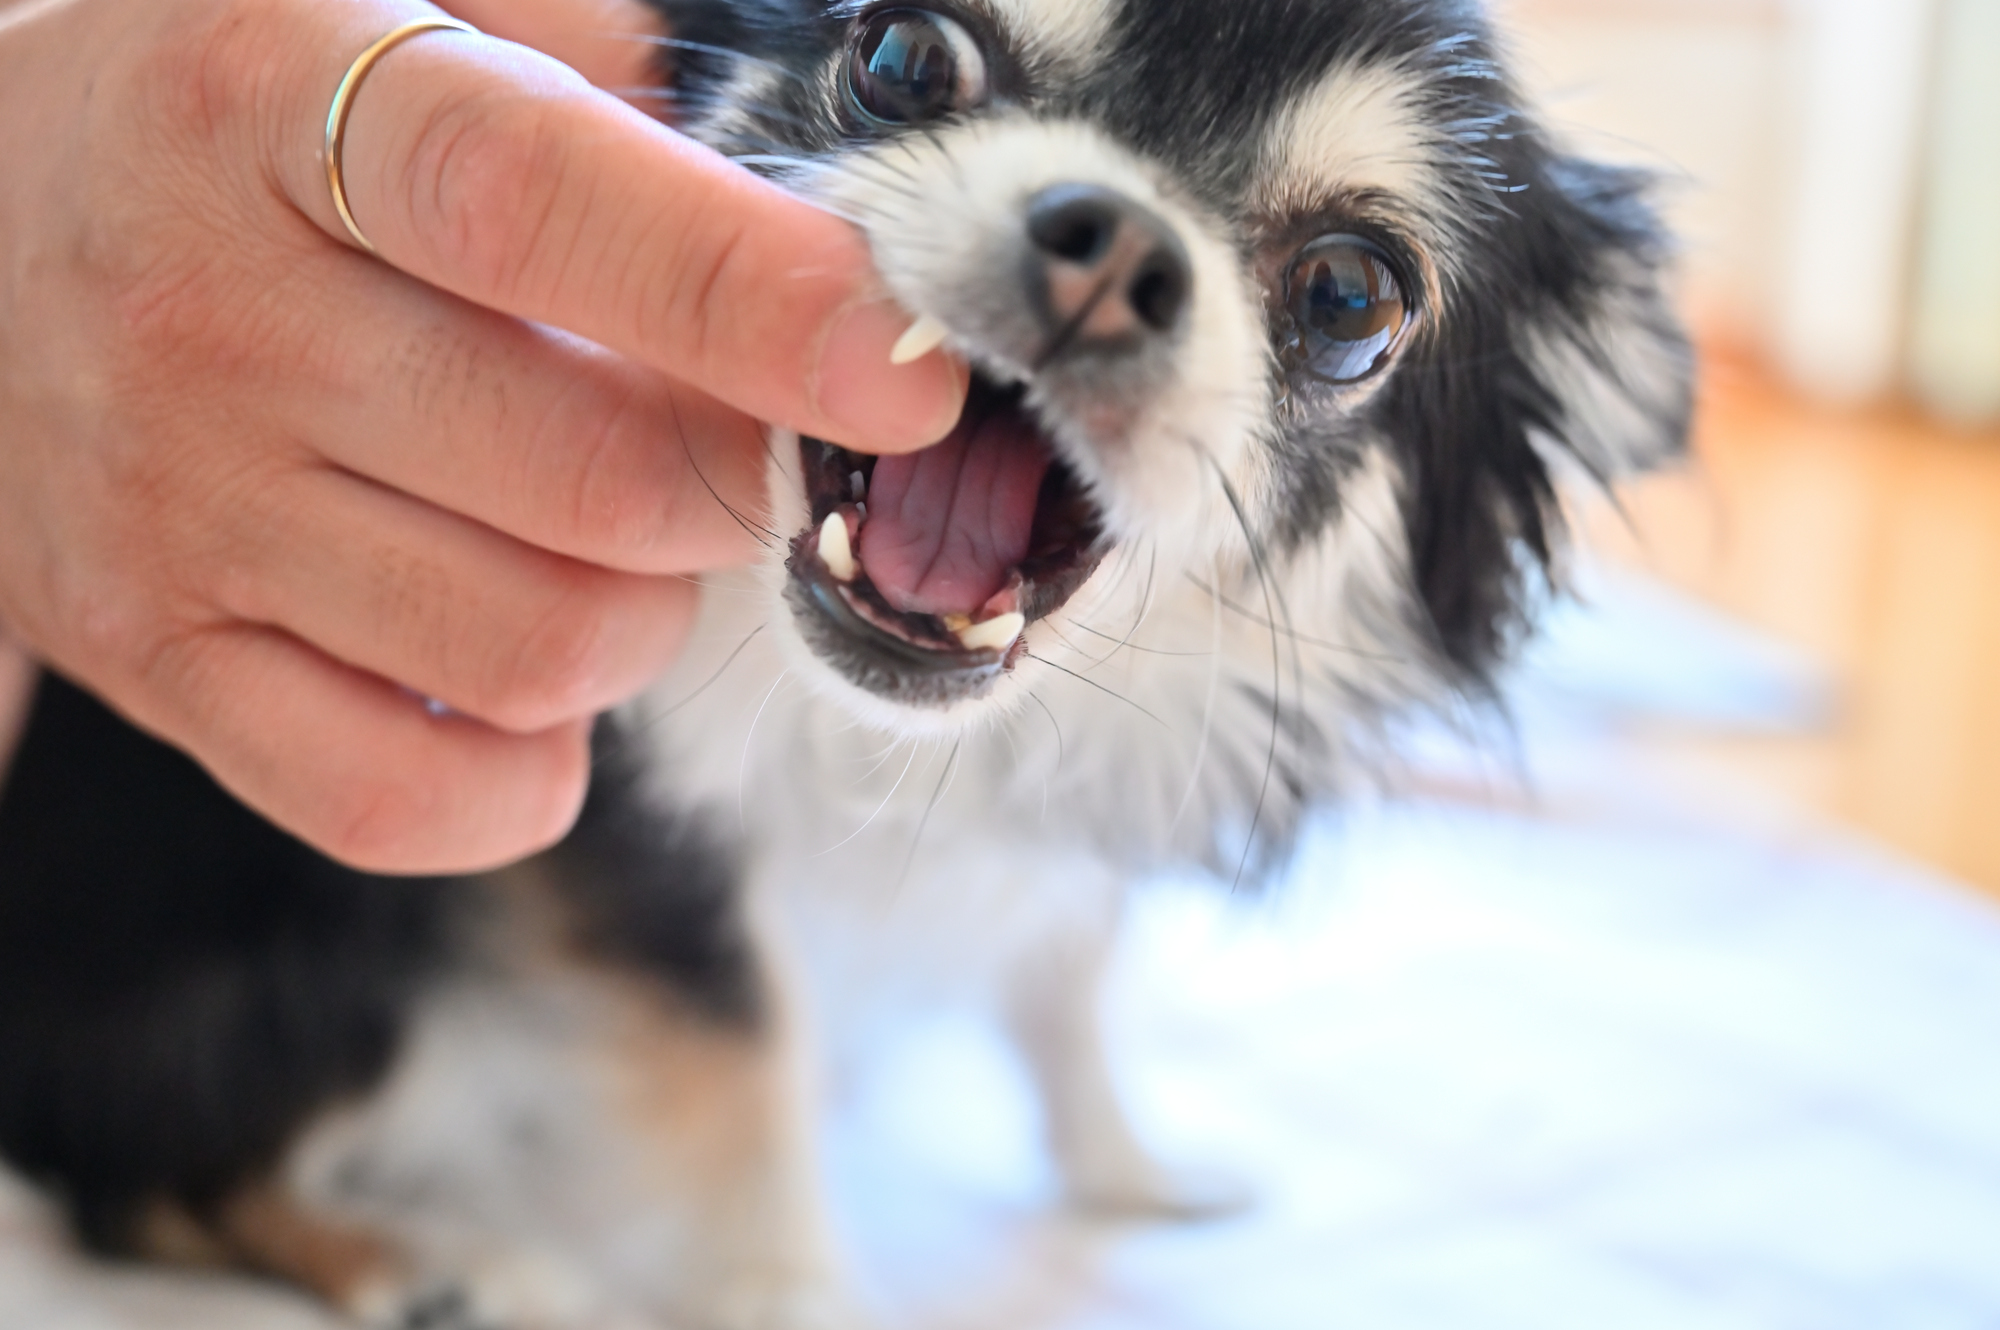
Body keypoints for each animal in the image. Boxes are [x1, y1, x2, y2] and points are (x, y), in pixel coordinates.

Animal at [0, 0, 1696, 1320]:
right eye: (901, 57)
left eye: (1352, 299)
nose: (1113, 245)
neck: (887, 741)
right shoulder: (634, 849)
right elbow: (748, 1077)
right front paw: (790, 1292)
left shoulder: (1057, 842)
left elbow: (1069, 978)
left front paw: (1127, 1165)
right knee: (129, 1176)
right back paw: (419, 1260)